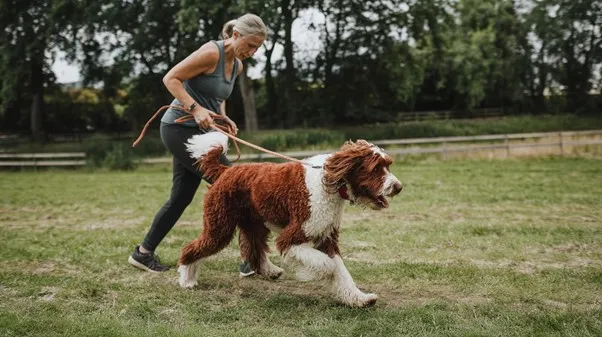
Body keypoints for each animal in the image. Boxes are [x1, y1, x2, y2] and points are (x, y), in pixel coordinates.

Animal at [178, 132, 404, 308]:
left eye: (388, 165)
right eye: (376, 168)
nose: (398, 187)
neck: (331, 182)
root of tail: (227, 170)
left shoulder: (326, 237)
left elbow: (342, 271)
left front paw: (359, 298)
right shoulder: (293, 236)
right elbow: (329, 265)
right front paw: (314, 274)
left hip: (255, 224)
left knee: (253, 250)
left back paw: (270, 271)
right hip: (220, 225)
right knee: (191, 248)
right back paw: (187, 279)